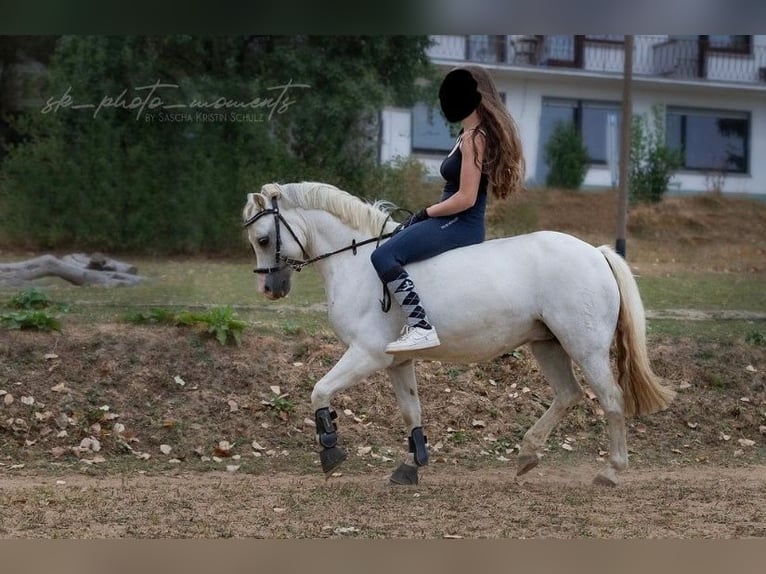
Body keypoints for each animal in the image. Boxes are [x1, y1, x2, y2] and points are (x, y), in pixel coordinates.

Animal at [243, 182, 676, 488]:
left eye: (263, 239)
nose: (269, 289)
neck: (356, 261)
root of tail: (596, 253)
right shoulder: (397, 360)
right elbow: (411, 411)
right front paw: (411, 465)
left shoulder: (367, 354)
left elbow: (319, 391)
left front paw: (330, 452)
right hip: (547, 344)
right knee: (569, 394)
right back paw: (527, 455)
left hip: (584, 346)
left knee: (611, 399)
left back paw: (611, 472)